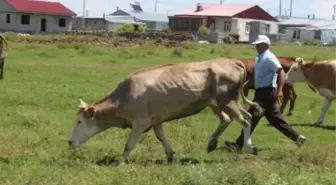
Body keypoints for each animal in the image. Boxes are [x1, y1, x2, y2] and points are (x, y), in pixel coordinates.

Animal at [68, 57, 262, 165]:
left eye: (79, 121)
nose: (70, 142)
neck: (123, 98)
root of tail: (233, 61)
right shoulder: (156, 120)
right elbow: (161, 137)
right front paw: (170, 155)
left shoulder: (140, 122)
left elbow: (129, 144)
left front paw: (120, 162)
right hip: (216, 103)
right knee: (227, 119)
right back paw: (212, 143)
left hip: (228, 101)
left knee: (246, 118)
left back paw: (248, 147)